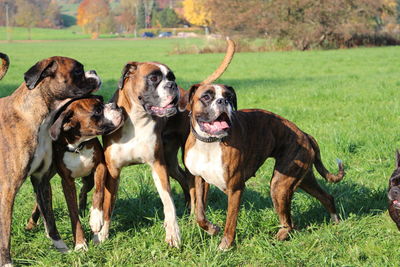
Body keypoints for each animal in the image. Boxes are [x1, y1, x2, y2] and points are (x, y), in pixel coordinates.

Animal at [0, 55, 101, 266]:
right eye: (78, 71)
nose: (94, 72)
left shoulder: (41, 180)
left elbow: (50, 218)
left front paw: (63, 248)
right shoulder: (7, 188)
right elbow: (4, 230)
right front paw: (6, 261)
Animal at [25, 97, 122, 253]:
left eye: (101, 101)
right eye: (97, 111)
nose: (115, 105)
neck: (77, 147)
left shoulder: (100, 167)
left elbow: (99, 192)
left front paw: (96, 219)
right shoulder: (67, 182)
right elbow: (73, 213)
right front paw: (80, 243)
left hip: (89, 180)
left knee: (83, 191)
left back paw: (84, 210)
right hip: (45, 180)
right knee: (39, 203)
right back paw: (31, 224)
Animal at [95, 38, 236, 248]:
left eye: (172, 77)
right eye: (153, 78)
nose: (172, 85)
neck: (136, 119)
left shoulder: (158, 165)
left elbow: (168, 202)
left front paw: (173, 234)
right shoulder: (113, 171)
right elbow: (107, 205)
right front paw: (102, 234)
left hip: (180, 161)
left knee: (194, 185)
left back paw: (194, 217)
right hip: (170, 162)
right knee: (185, 180)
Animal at [184, 84, 344, 251]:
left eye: (229, 96)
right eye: (206, 97)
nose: (223, 101)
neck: (209, 143)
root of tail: (304, 134)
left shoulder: (235, 189)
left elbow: (230, 222)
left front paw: (225, 246)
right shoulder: (200, 180)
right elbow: (199, 213)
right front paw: (212, 229)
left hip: (279, 186)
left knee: (288, 223)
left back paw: (276, 240)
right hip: (303, 178)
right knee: (325, 197)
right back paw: (336, 222)